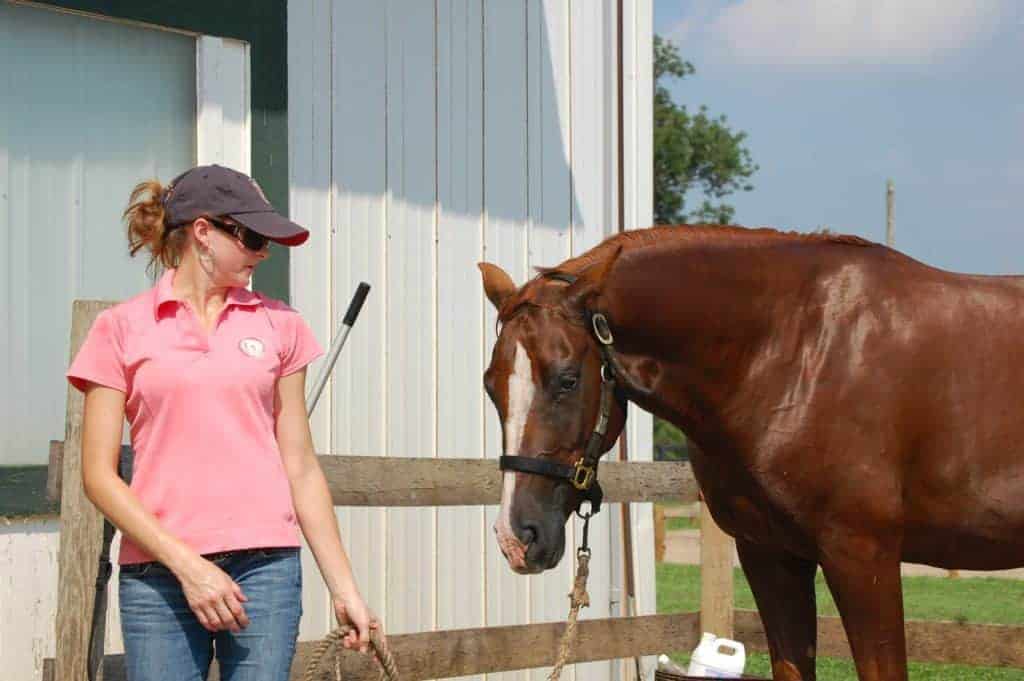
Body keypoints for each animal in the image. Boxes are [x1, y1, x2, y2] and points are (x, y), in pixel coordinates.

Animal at [478, 225, 1024, 681]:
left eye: (568, 378)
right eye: (490, 386)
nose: (515, 537)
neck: (799, 351)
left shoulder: (864, 556)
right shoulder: (770, 555)